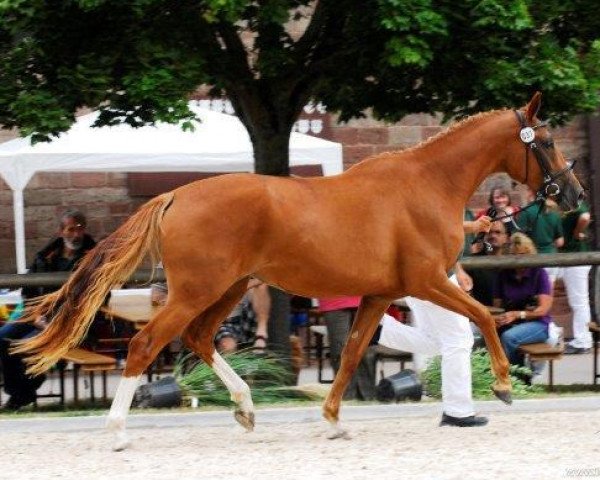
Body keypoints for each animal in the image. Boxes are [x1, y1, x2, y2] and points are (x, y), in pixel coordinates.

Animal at [15, 92, 580, 448]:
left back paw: (245, 408)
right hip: (195, 291)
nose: (574, 195)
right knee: (145, 344)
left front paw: (332, 421)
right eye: (548, 140)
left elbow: (350, 354)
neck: (427, 184)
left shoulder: (380, 294)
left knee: (198, 338)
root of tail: (175, 194)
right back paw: (118, 432)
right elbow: (484, 316)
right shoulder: (427, 281)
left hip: (226, 289)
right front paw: (504, 387)